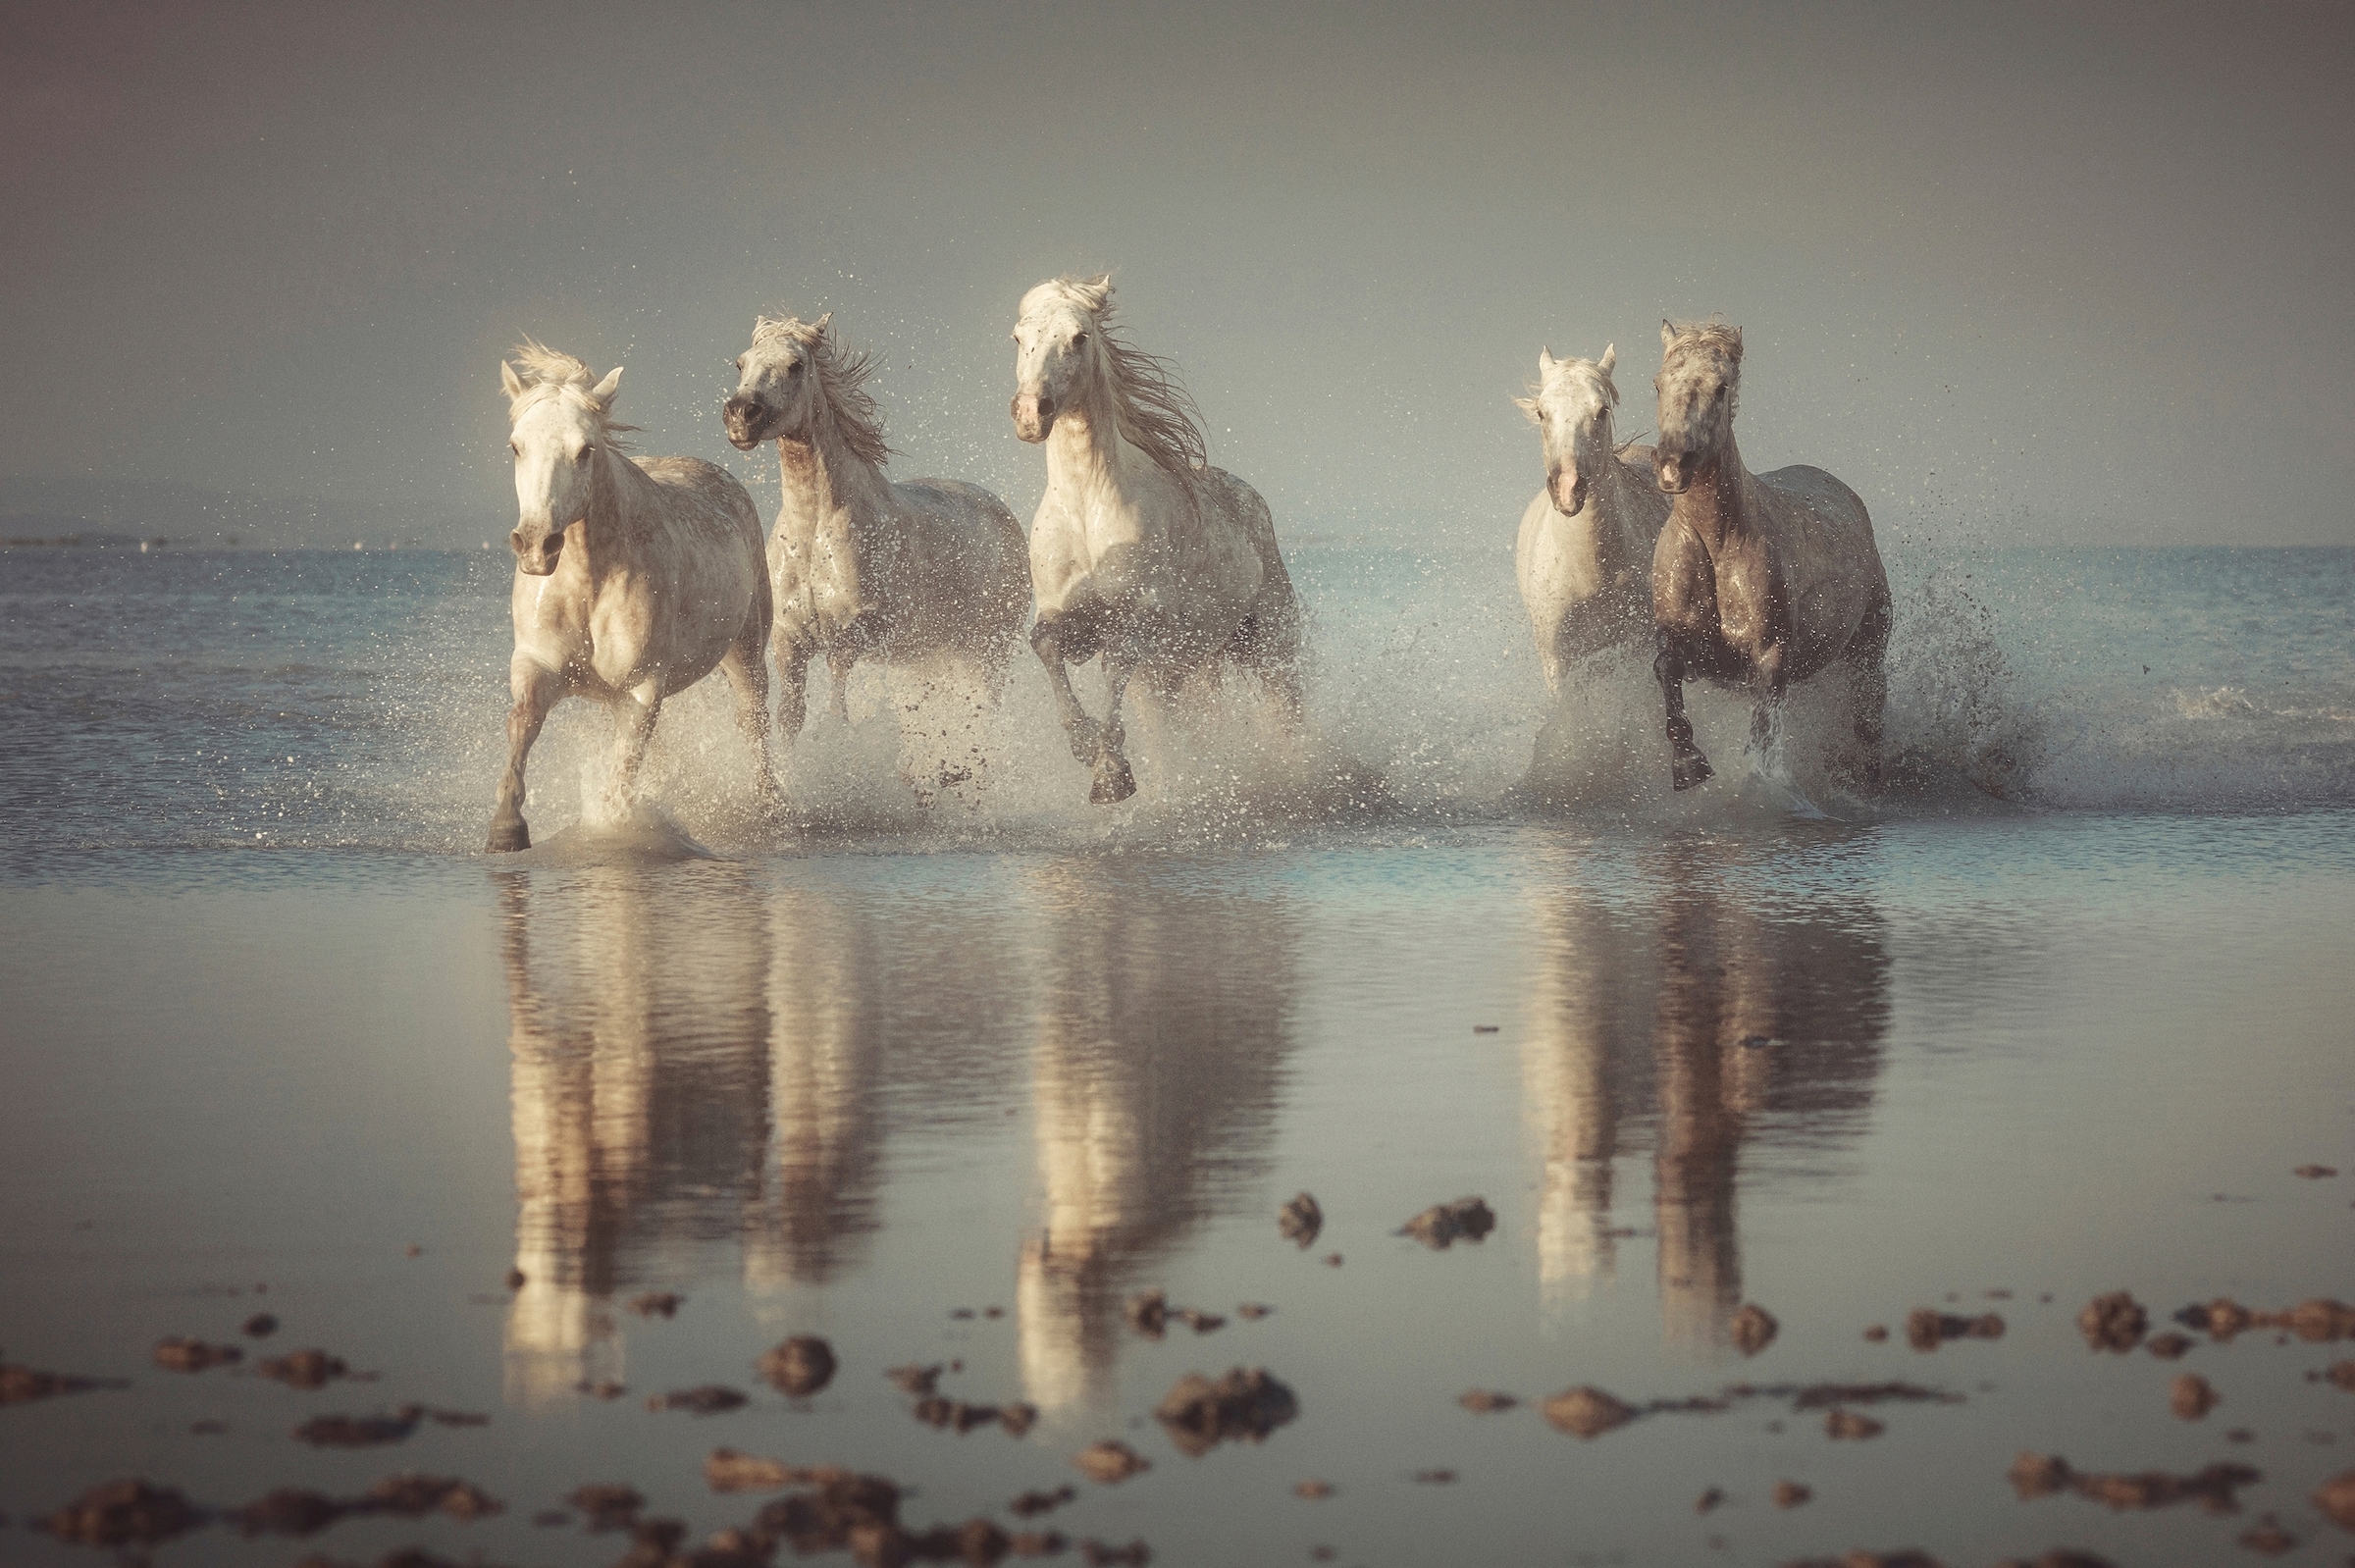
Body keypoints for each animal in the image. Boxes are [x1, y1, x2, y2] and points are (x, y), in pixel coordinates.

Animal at [485, 345, 772, 857]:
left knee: (754, 725)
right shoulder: (538, 663)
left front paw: (616, 833)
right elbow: (523, 724)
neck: (590, 582)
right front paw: (506, 828)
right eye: (516, 446)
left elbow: (624, 767)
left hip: (746, 654)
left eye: (585, 449)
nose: (537, 546)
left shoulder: (640, 687)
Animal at [715, 315, 1031, 749]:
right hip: (936, 655)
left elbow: (837, 713)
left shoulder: (852, 634)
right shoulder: (788, 641)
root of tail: (1005, 515)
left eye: (796, 365)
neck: (814, 532)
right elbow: (790, 718)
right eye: (741, 363)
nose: (740, 414)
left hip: (988, 653)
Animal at [1013, 273, 1309, 800]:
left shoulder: (1144, 618)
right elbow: (1045, 644)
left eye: (1079, 337)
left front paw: (1111, 774)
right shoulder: (1069, 616)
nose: (1031, 413)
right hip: (1183, 667)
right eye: (1018, 337)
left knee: (1285, 715)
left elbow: (1116, 663)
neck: (1088, 511)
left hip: (1269, 645)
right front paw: (1086, 747)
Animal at [1648, 317, 1903, 786]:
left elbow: (1763, 737)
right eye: (1658, 384)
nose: (1674, 464)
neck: (1717, 544)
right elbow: (1665, 669)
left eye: (1721, 387)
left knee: (1868, 720)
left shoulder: (1770, 658)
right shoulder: (1694, 651)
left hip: (1868, 651)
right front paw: (1689, 764)